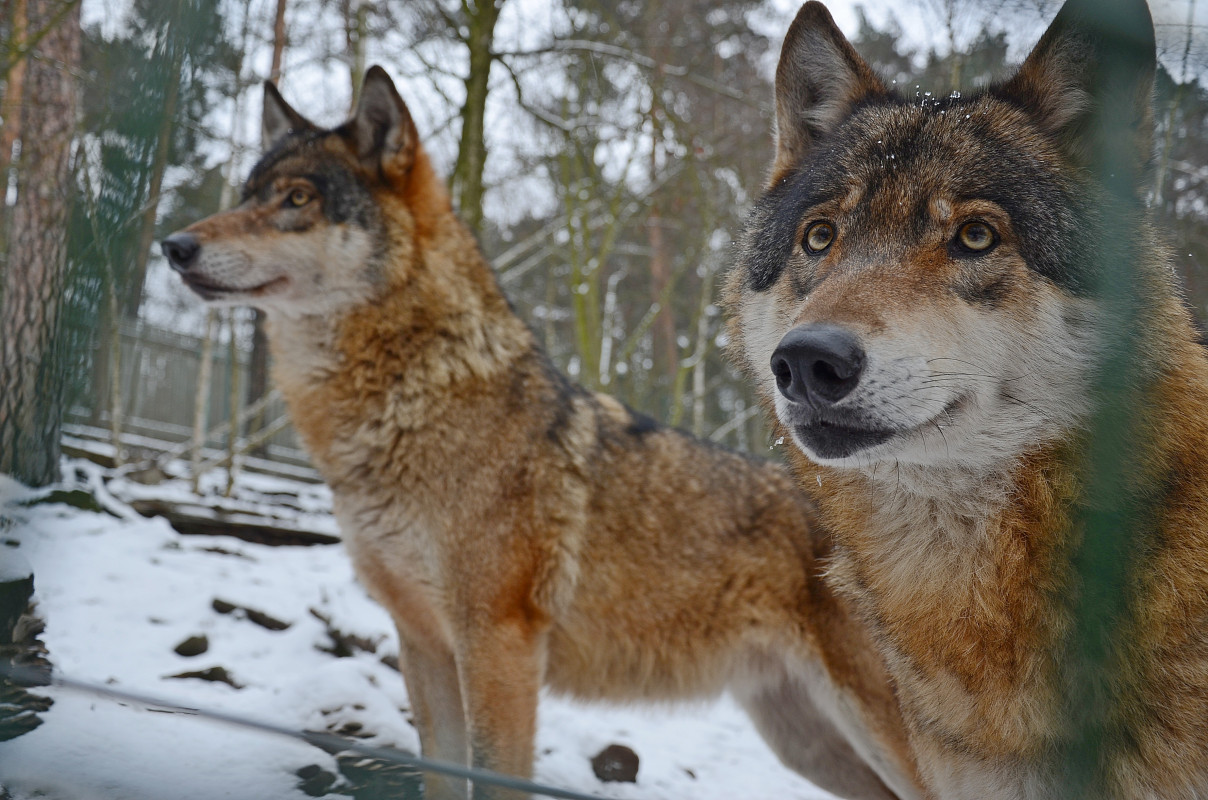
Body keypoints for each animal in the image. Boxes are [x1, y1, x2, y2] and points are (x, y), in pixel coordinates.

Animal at [158, 68, 913, 800]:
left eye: (297, 198)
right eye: (247, 194)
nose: (174, 246)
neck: (416, 403)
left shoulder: (499, 644)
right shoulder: (423, 646)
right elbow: (441, 777)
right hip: (807, 742)